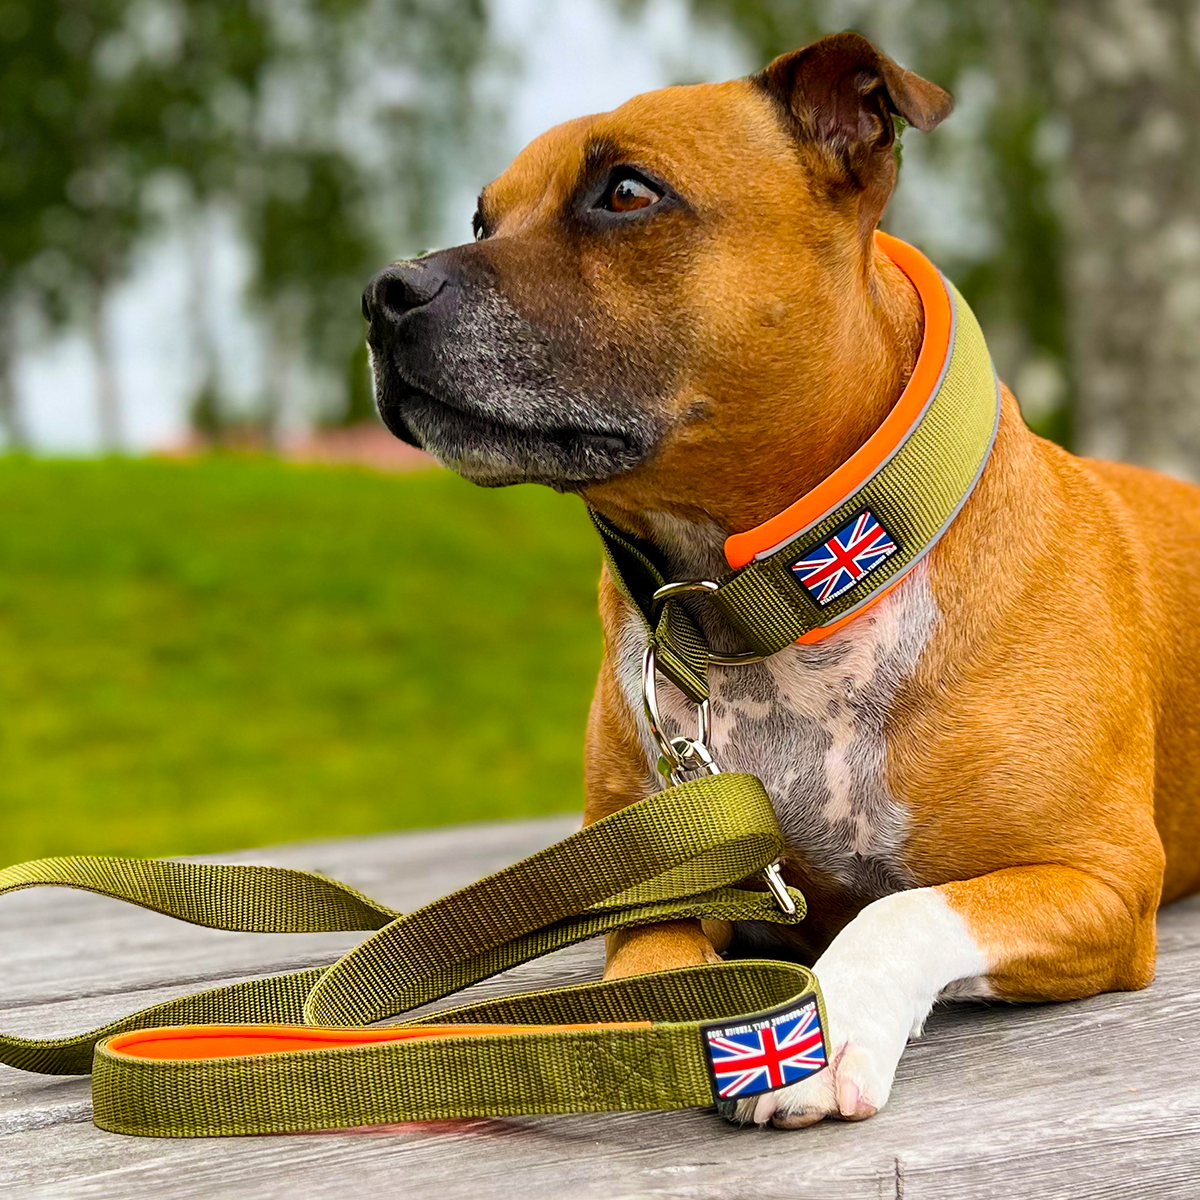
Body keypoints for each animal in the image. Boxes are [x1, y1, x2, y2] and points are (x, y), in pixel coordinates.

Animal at [360, 32, 1195, 1128]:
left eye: (626, 192)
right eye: (482, 220)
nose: (383, 293)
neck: (775, 602)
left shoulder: (1097, 880)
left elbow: (905, 909)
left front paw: (824, 1025)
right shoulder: (656, 886)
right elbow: (648, 958)